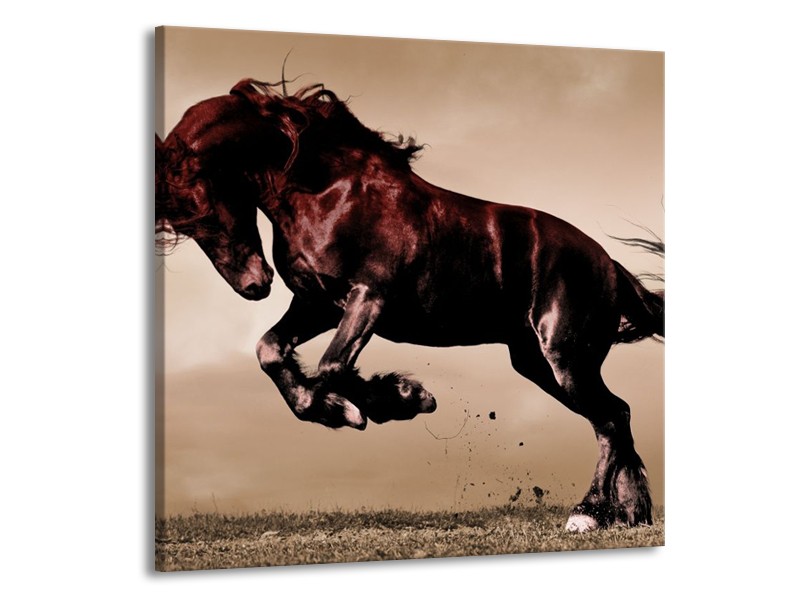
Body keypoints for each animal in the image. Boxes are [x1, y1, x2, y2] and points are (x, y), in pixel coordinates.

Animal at [155, 78, 664, 532]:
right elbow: (271, 352)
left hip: (565, 357)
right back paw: (628, 511)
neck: (328, 191)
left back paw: (588, 513)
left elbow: (332, 366)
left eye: (203, 208)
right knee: (615, 415)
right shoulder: (318, 303)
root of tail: (608, 264)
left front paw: (399, 399)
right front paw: (338, 407)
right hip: (537, 363)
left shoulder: (369, 298)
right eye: (180, 223)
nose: (254, 285)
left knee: (610, 418)